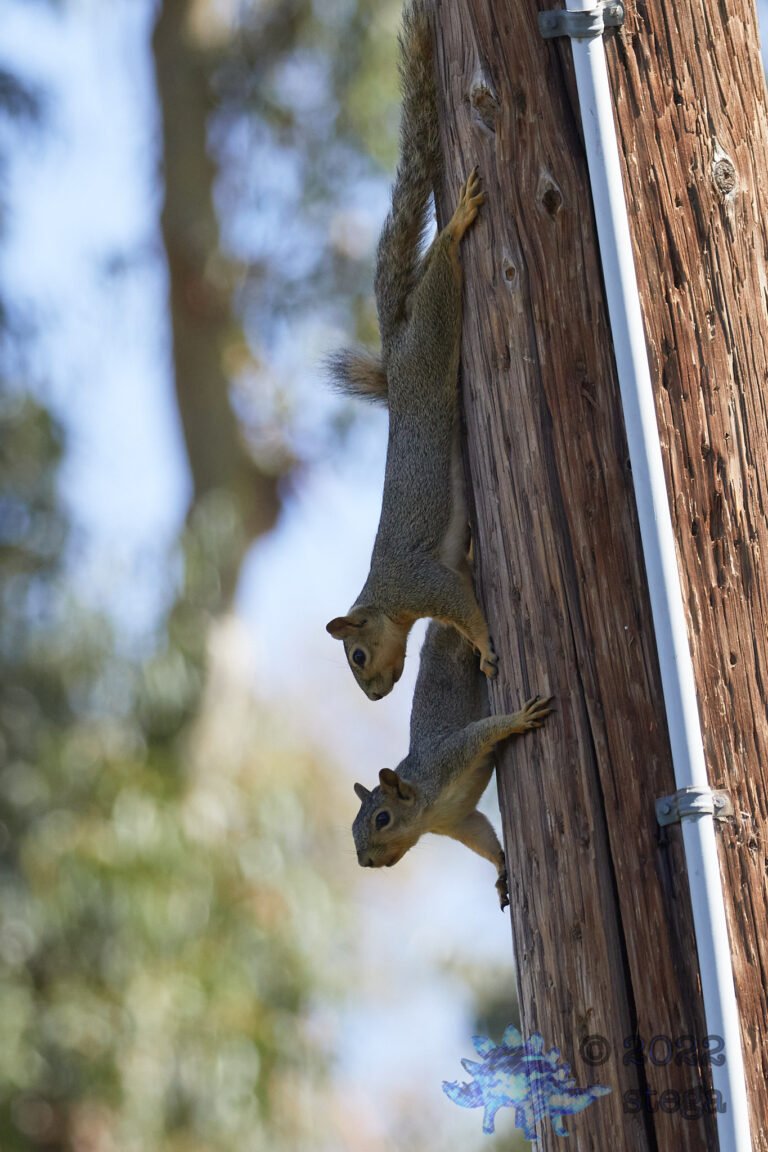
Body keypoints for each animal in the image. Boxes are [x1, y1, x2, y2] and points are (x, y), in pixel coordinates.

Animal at [352, 622, 553, 909]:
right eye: (352, 828)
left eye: (382, 818)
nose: (365, 862)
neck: (428, 810)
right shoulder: (458, 822)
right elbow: (483, 837)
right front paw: (501, 872)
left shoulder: (450, 756)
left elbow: (484, 731)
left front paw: (519, 719)